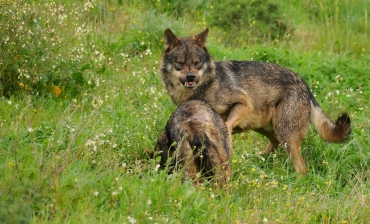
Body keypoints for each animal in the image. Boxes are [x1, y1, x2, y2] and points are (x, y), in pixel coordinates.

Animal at [159, 27, 350, 175]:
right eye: (180, 63)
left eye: (197, 63)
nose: (191, 77)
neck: (204, 88)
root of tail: (305, 84)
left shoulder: (244, 103)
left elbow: (226, 124)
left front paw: (227, 138)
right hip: (265, 129)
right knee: (275, 143)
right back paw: (259, 159)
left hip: (286, 135)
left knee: (302, 168)